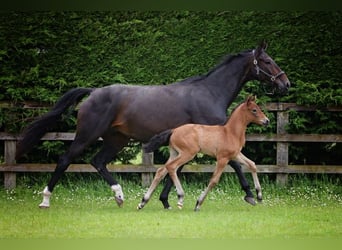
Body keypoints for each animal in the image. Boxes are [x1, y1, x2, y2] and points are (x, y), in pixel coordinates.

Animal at [138, 95, 268, 211]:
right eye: (254, 110)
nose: (267, 121)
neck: (230, 132)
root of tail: (174, 130)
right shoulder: (223, 158)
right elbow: (214, 180)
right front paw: (198, 204)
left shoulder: (236, 154)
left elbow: (252, 164)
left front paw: (259, 196)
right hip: (188, 153)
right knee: (171, 167)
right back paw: (180, 198)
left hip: (175, 153)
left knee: (161, 170)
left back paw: (143, 202)